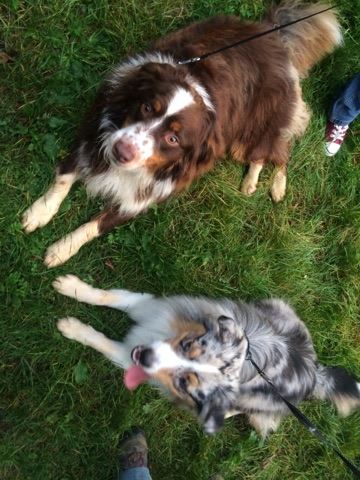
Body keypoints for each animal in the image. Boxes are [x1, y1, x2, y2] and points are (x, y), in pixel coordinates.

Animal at [21, 0, 342, 266]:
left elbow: (96, 225)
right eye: (147, 107)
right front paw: (40, 213)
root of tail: (273, 34)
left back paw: (273, 186)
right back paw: (252, 182)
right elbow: (64, 177)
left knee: (279, 150)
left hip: (255, 129)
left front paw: (61, 249)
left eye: (173, 139)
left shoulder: (149, 193)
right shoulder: (94, 134)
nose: (121, 152)